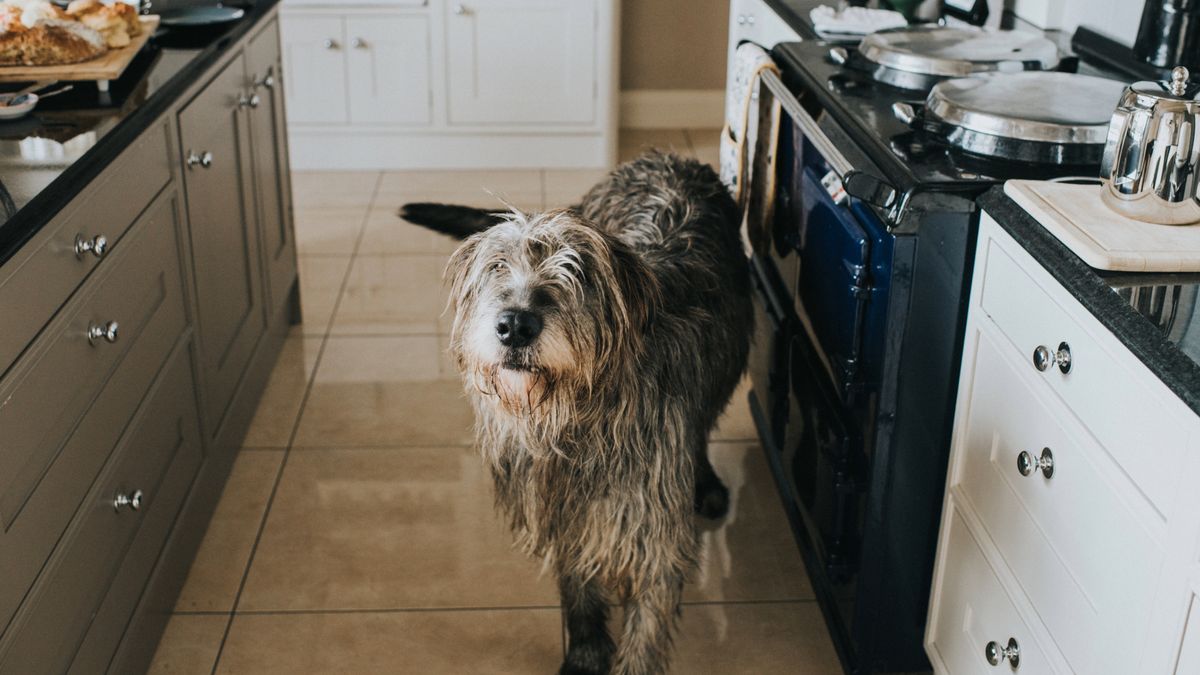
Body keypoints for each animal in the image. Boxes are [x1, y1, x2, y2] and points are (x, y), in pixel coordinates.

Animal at [403, 152, 748, 672]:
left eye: (577, 271)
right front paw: (585, 648)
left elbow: (645, 629)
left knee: (702, 425)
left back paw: (704, 480)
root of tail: (669, 157)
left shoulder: (652, 531)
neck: (575, 418)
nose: (515, 324)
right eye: (497, 265)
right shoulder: (559, 506)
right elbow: (578, 580)